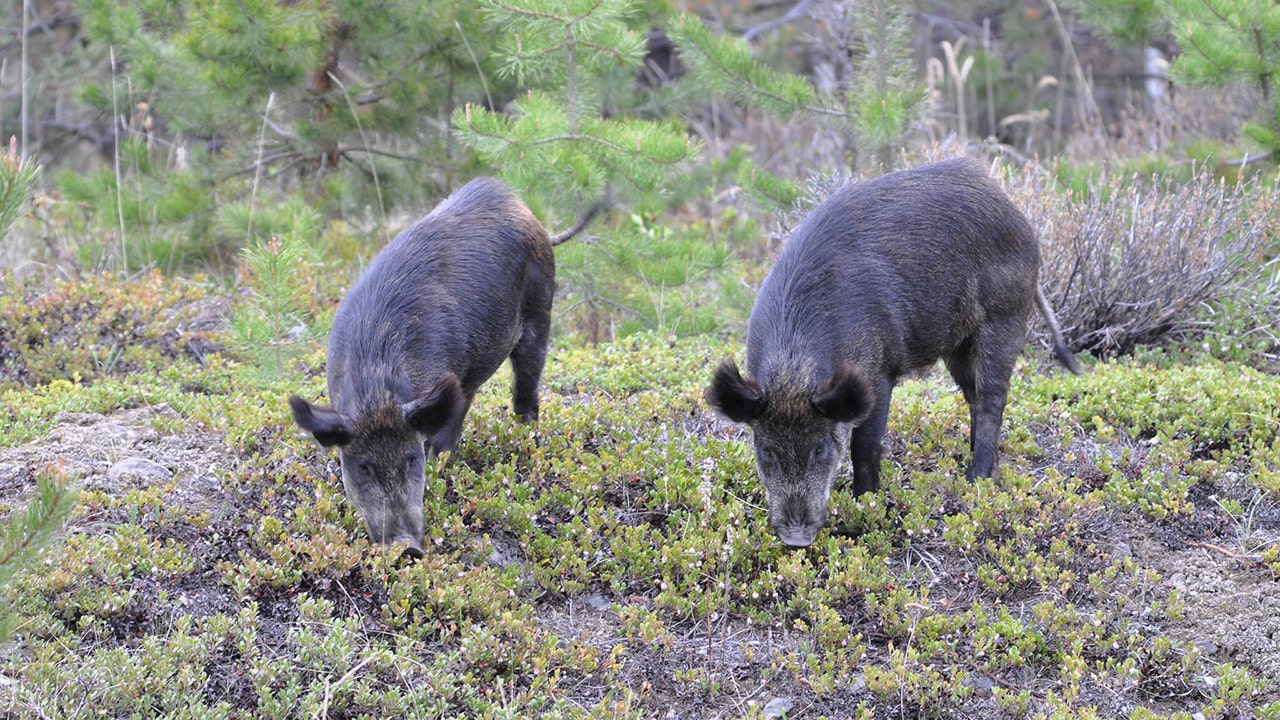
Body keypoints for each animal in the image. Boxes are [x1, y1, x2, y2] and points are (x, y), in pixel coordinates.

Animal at [289, 177, 603, 557]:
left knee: (525, 389)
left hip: (540, 313)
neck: (377, 383)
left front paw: (441, 465)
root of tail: (531, 217)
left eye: (411, 459)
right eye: (362, 467)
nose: (407, 546)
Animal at [706, 158, 1079, 548]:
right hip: (958, 344)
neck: (794, 368)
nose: (796, 538)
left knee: (993, 397)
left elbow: (865, 446)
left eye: (820, 449)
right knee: (973, 395)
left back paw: (976, 479)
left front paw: (865, 502)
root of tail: (1014, 211)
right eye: (766, 451)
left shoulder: (878, 376)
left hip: (1005, 316)